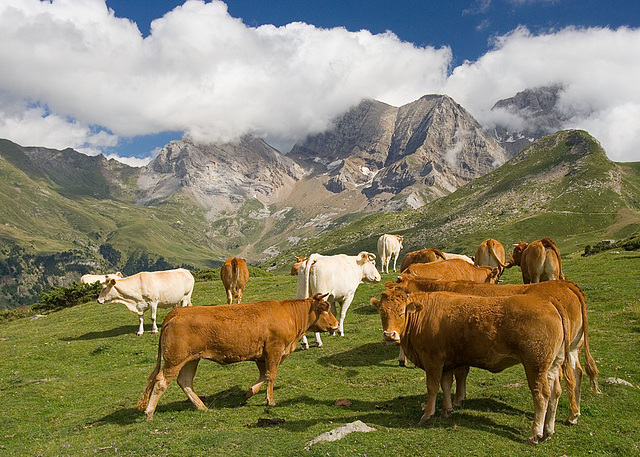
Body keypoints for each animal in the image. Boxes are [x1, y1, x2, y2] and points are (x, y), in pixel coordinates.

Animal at [138, 294, 340, 418]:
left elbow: (263, 375)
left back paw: (201, 406)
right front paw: (270, 400)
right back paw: (149, 412)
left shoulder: (261, 356)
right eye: (325, 308)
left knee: (185, 381)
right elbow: (271, 376)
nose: (337, 324)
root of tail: (176, 312)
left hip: (191, 359)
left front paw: (249, 392)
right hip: (175, 359)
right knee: (161, 382)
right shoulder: (274, 350)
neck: (289, 315)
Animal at [370, 288, 576, 442]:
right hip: (552, 365)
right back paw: (548, 431)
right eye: (382, 312)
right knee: (555, 392)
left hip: (535, 365)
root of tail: (548, 301)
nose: (389, 335)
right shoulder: (447, 362)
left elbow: (432, 387)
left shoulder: (433, 360)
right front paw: (447, 410)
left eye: (401, 312)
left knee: (542, 395)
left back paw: (535, 434)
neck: (425, 314)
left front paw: (428, 414)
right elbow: (446, 385)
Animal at [384, 274, 600, 420]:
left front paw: (457, 400)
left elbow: (459, 374)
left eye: (402, 312)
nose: (390, 335)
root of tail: (565, 284)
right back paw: (574, 414)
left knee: (567, 378)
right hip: (573, 348)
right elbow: (460, 374)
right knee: (578, 372)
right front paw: (458, 399)